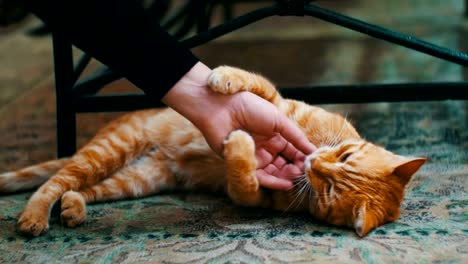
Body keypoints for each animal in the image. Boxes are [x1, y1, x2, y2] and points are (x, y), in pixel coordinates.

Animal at [0, 65, 426, 237]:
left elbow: (244, 177)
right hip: (112, 150)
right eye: (345, 157)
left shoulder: (251, 196)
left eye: (331, 188)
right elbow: (256, 85)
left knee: (77, 187)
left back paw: (70, 209)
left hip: (136, 179)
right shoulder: (278, 107)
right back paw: (34, 216)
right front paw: (221, 79)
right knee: (53, 182)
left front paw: (239, 147)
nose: (313, 161)